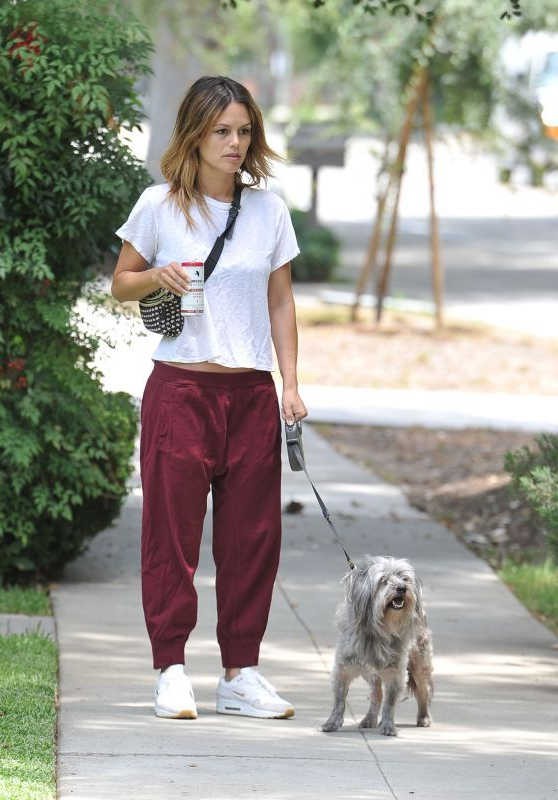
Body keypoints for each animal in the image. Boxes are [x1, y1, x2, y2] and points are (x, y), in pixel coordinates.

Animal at [322, 556, 436, 736]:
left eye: (405, 578)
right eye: (383, 580)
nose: (402, 588)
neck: (379, 629)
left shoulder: (396, 673)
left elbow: (390, 703)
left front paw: (388, 725)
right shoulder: (343, 669)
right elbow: (339, 700)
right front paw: (332, 721)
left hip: (419, 665)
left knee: (423, 691)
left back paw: (424, 717)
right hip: (371, 673)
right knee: (377, 694)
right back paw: (370, 719)